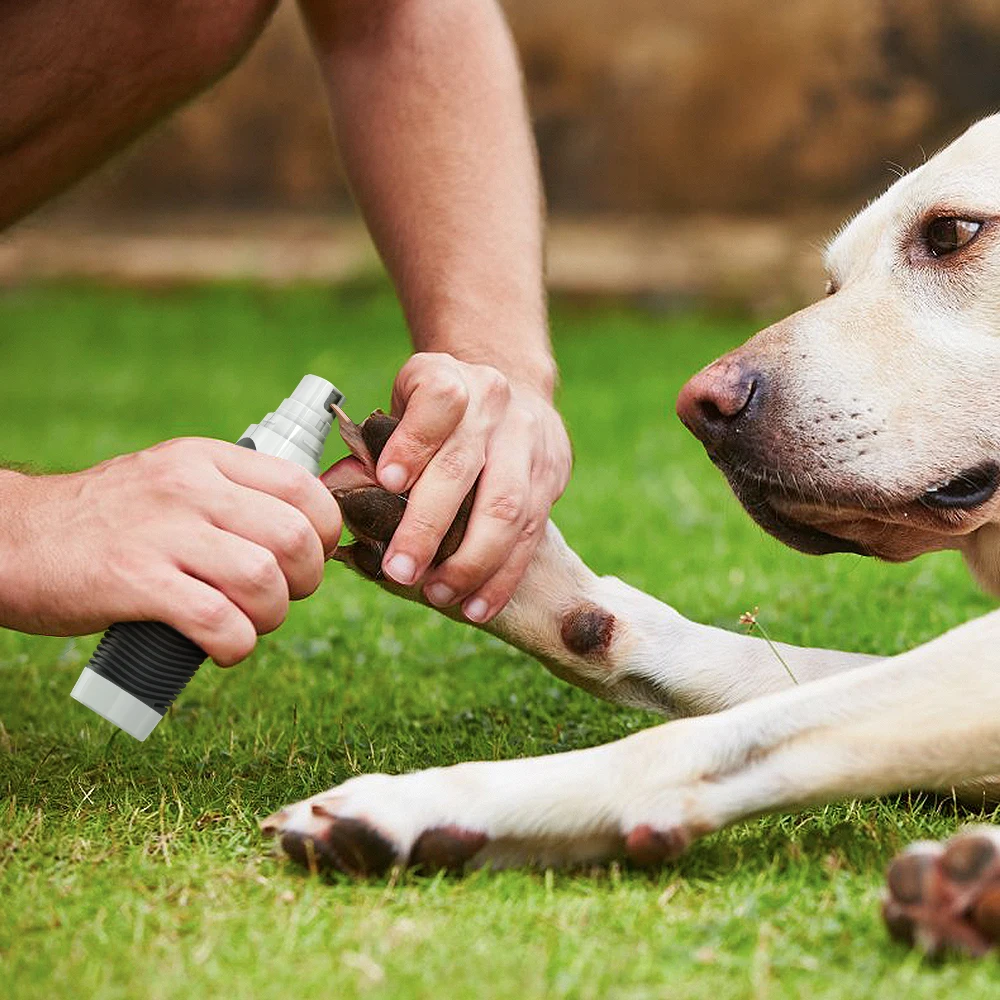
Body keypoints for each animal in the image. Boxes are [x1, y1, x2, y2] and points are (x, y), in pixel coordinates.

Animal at [262, 117, 1000, 944]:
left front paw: (432, 801)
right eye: (831, 284)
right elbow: (752, 668)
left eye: (952, 232)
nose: (701, 408)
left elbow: (707, 737)